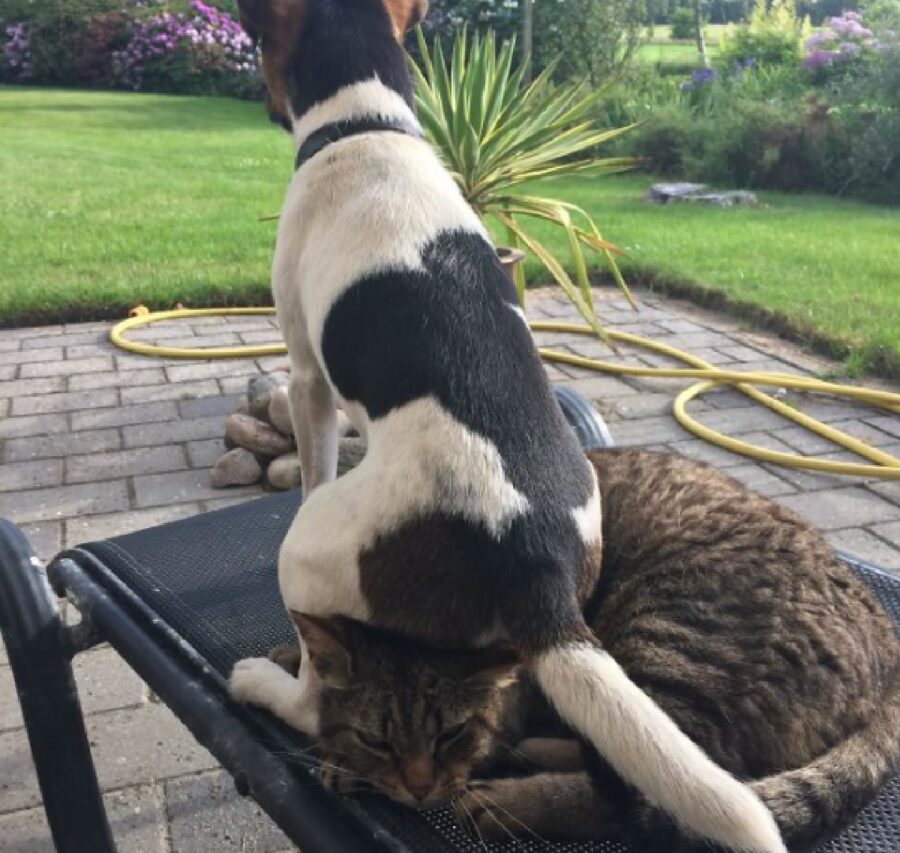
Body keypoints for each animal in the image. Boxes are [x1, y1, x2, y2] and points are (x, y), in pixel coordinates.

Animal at [229, 3, 784, 848]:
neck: (368, 125)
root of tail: (534, 560)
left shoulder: (305, 378)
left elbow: (313, 454)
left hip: (311, 552)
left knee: (315, 697)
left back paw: (263, 682)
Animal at [284, 450, 900, 848]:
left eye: (450, 733)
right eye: (376, 737)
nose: (416, 787)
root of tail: (889, 653)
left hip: (671, 634)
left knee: (666, 781)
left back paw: (516, 795)